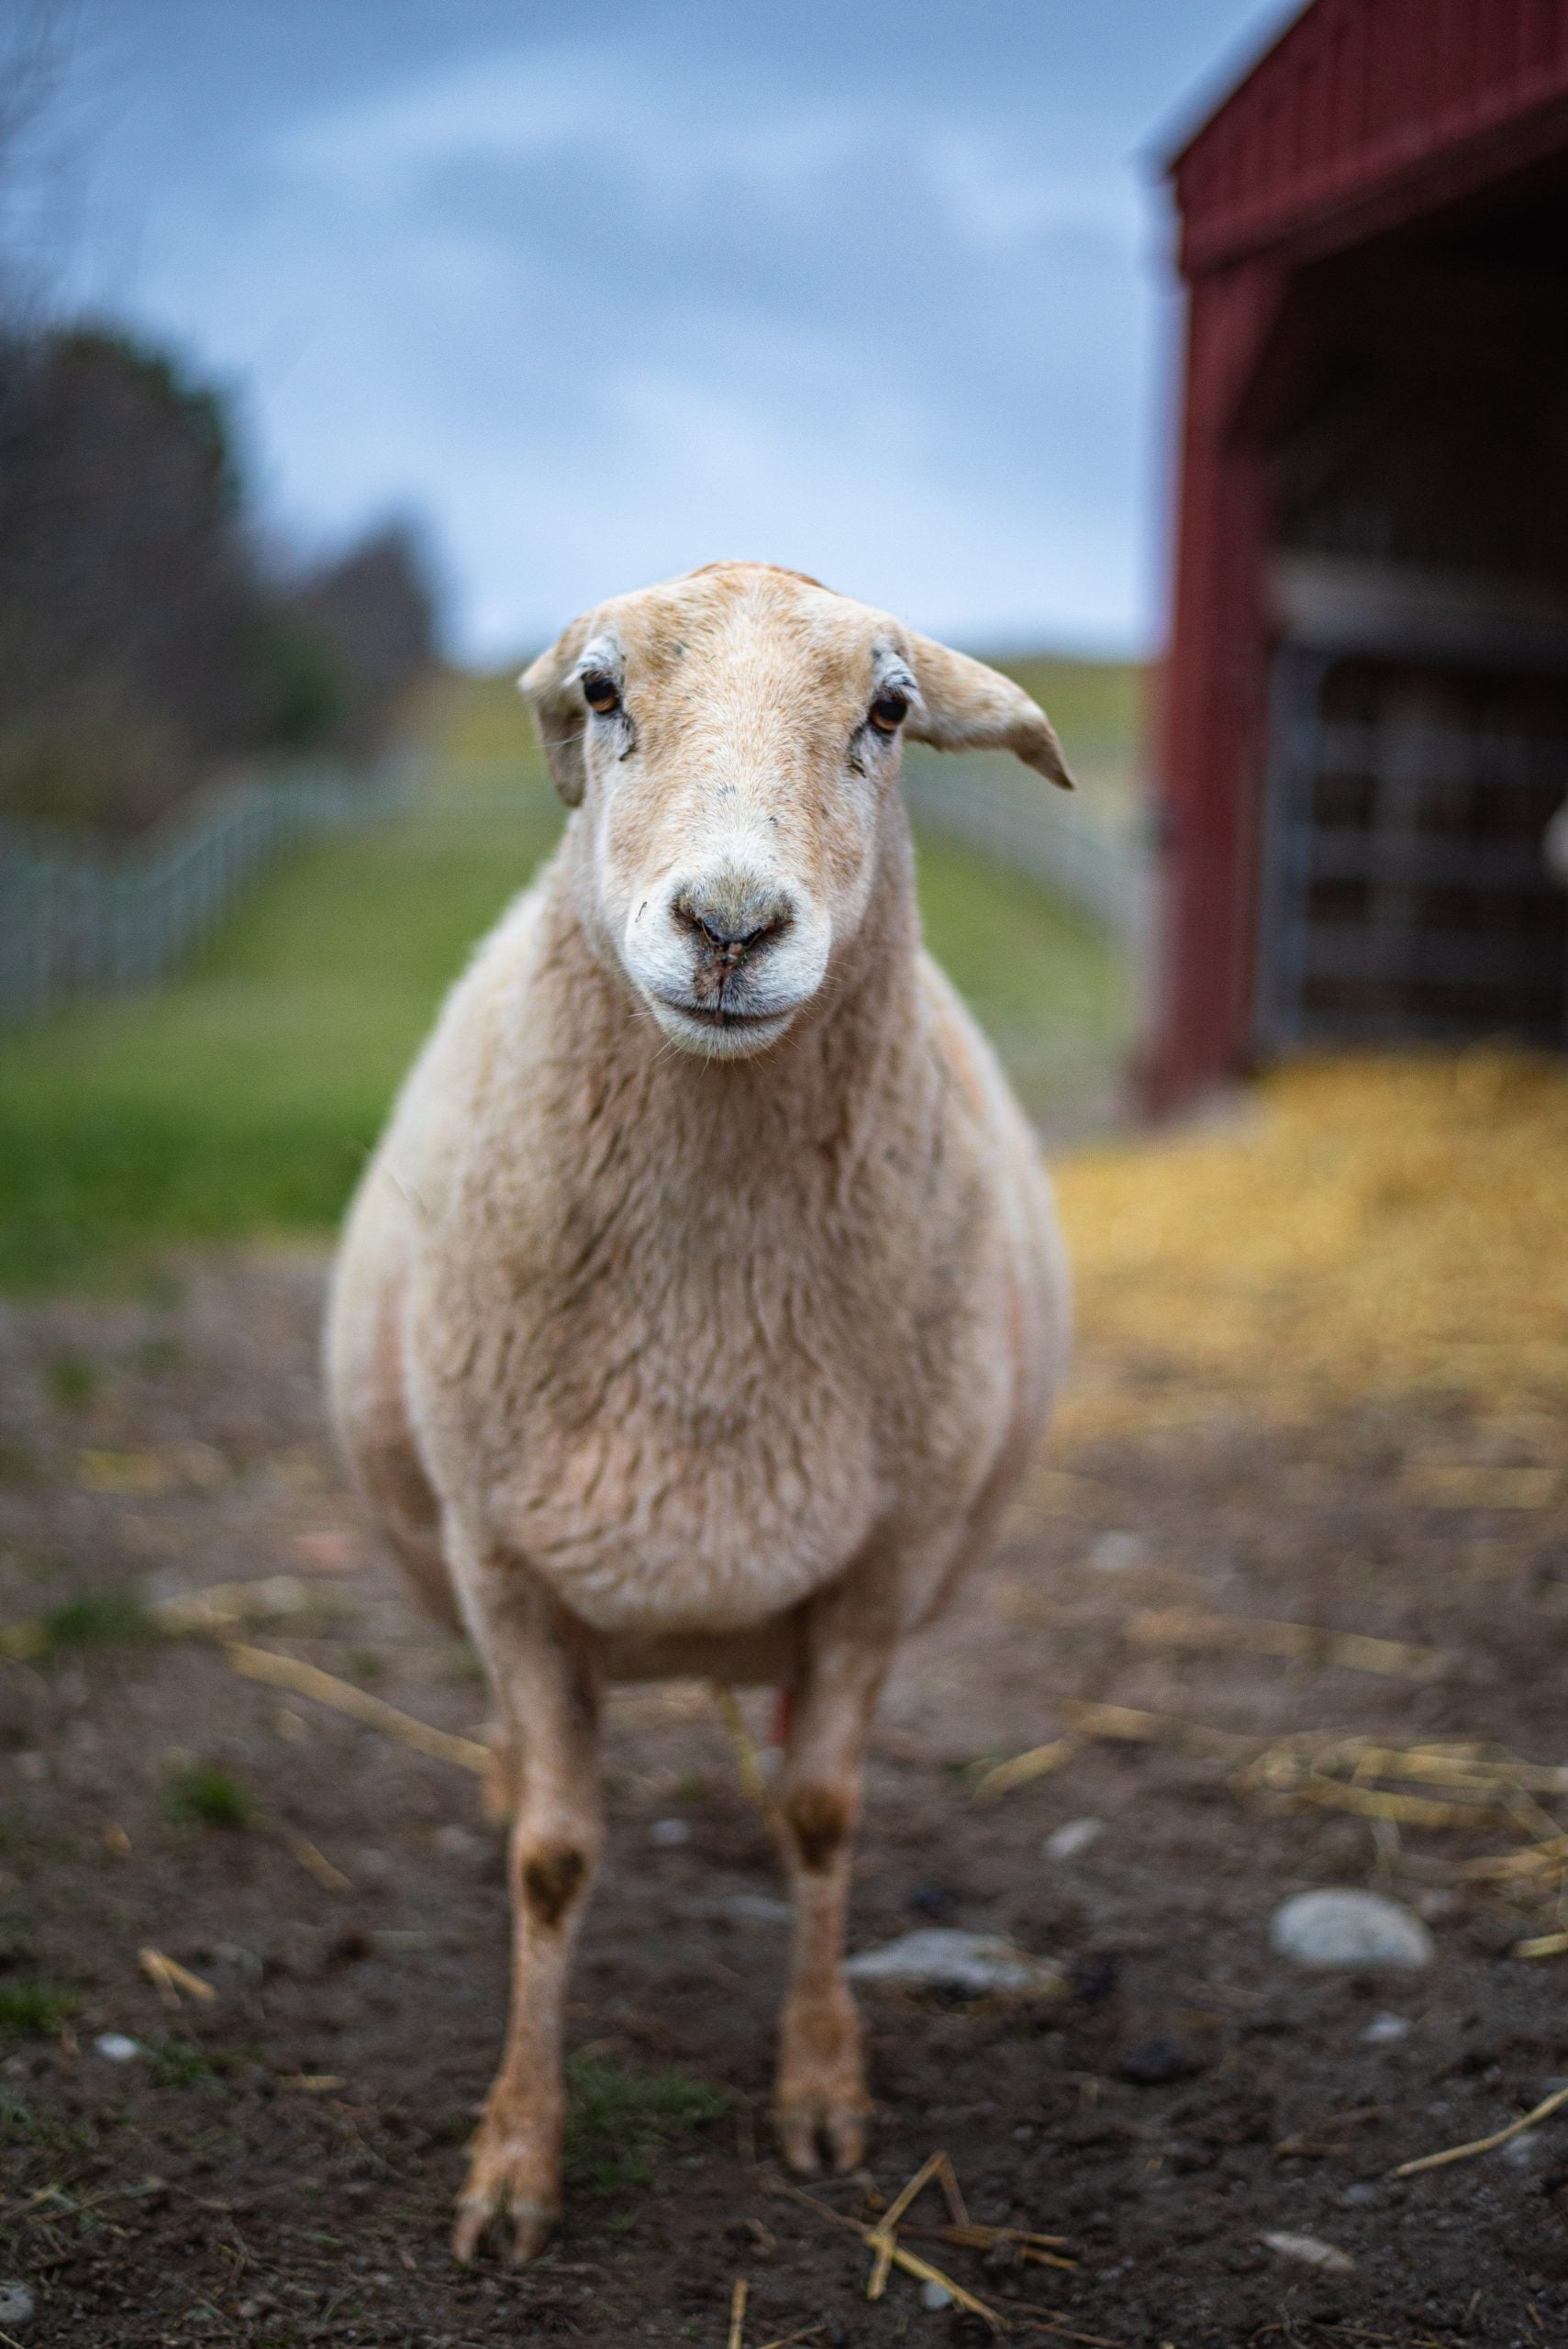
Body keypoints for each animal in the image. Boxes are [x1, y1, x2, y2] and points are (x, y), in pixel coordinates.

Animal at [324, 560, 1073, 2262]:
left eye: (887, 712)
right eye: (601, 694)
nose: (730, 926)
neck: (708, 1324)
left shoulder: (881, 1563)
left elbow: (822, 1820)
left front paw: (821, 2088)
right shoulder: (504, 1564)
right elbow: (552, 1863)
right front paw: (514, 2161)